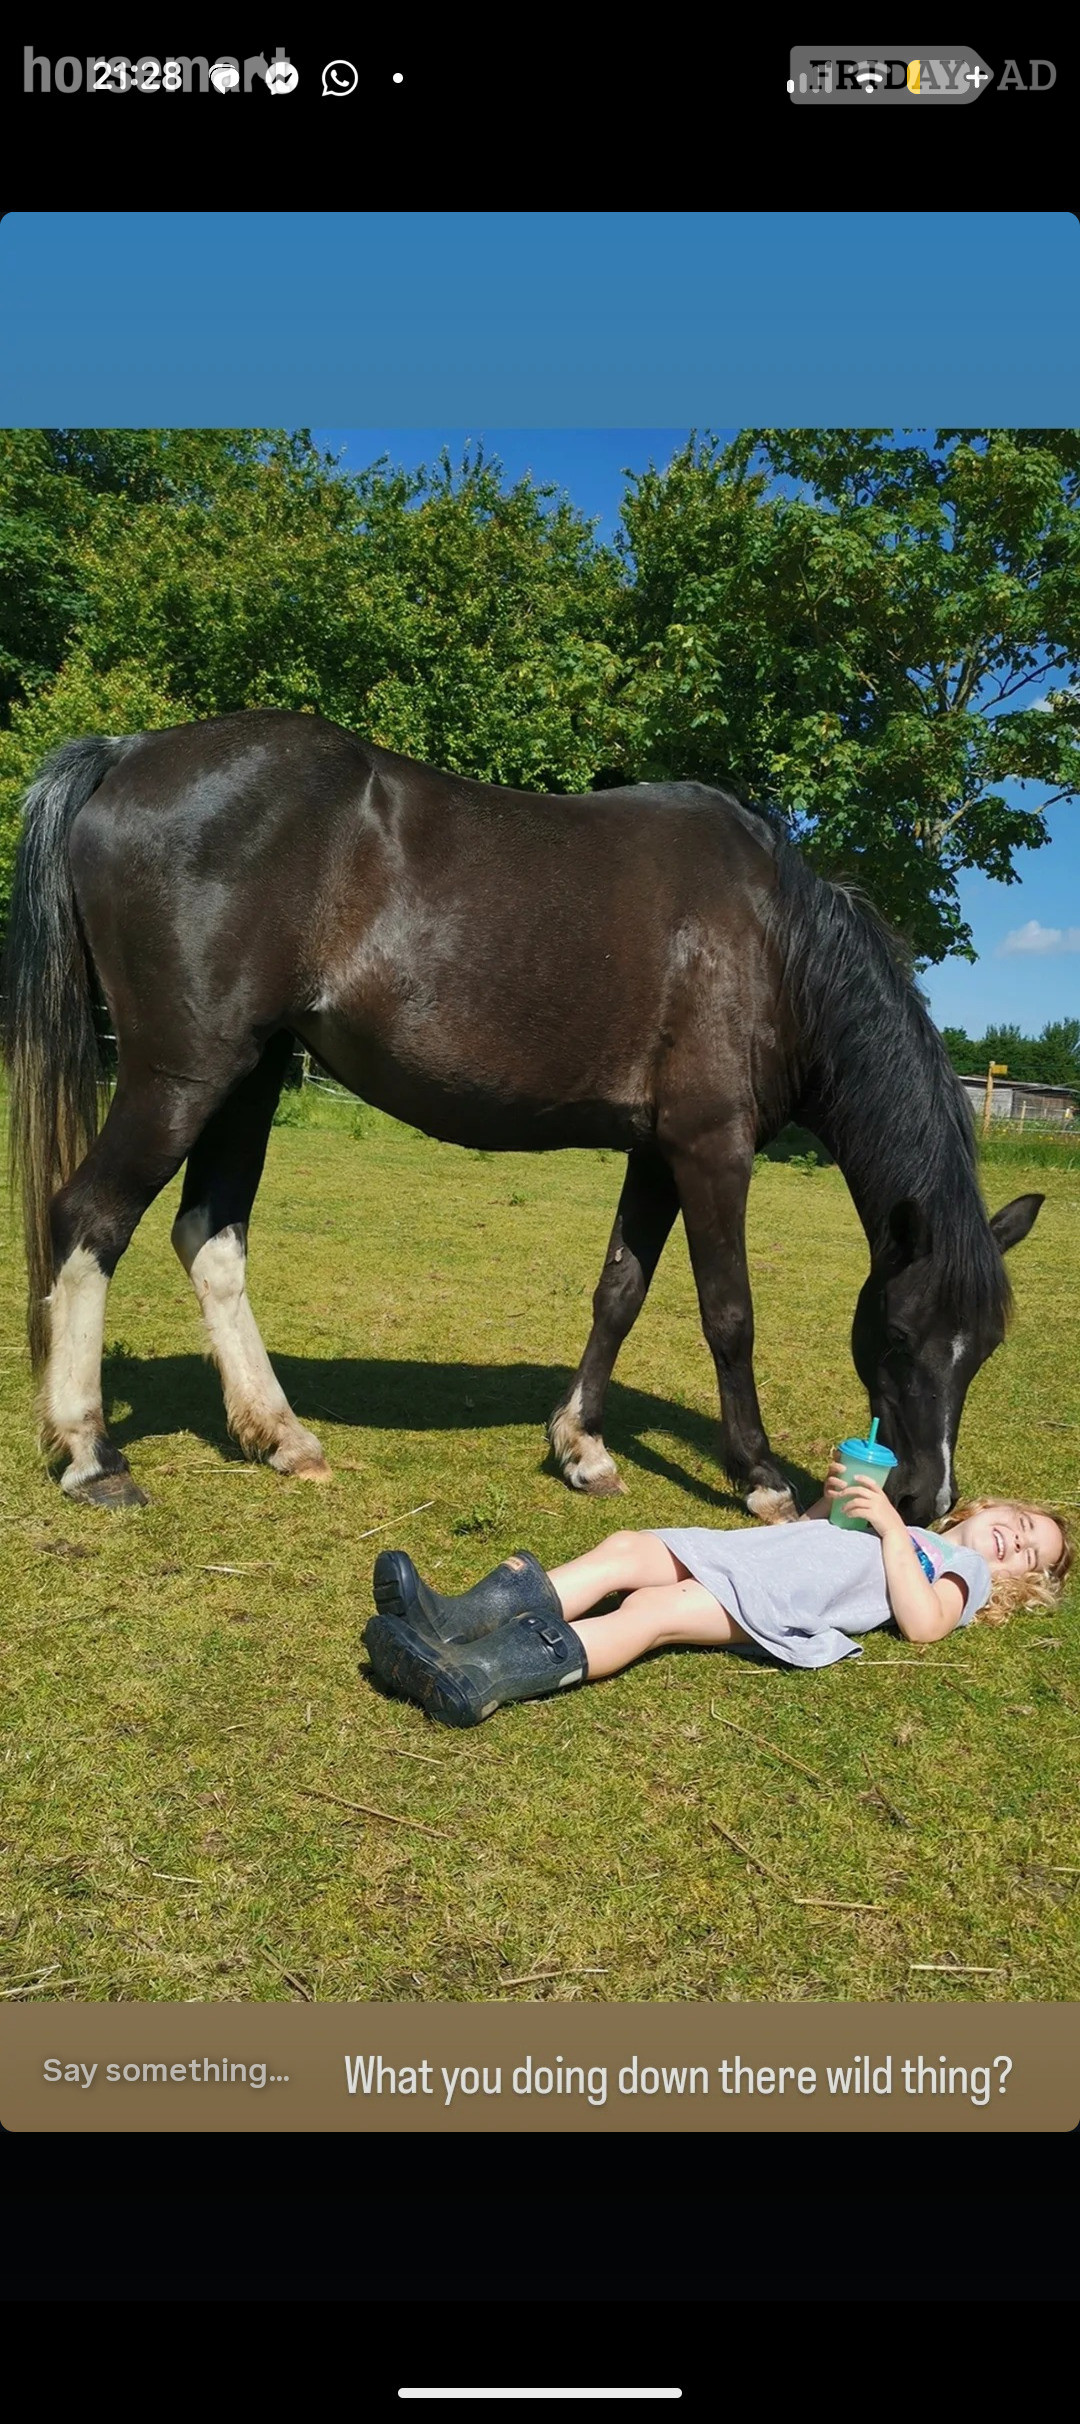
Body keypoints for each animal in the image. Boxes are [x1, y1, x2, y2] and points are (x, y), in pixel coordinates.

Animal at [3, 710, 1043, 1525]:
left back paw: (280, 1434)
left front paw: (581, 1446)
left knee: (209, 1239)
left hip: (247, 1077)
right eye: (898, 1335)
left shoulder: (658, 1153)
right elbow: (729, 1312)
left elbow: (621, 1289)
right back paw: (91, 1455)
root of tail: (131, 751)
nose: (926, 1498)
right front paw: (759, 1476)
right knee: (91, 1220)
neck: (773, 944)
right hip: (182, 1077)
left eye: (985, 1347)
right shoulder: (712, 1150)